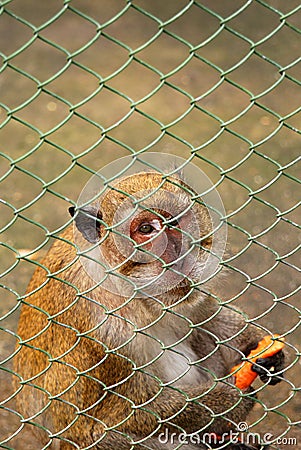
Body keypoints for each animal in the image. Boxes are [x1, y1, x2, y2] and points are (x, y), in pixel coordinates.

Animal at [14, 171, 284, 448]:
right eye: (146, 229)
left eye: (174, 221)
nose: (180, 256)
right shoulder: (106, 330)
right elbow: (102, 425)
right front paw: (226, 401)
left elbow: (206, 317)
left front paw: (258, 347)